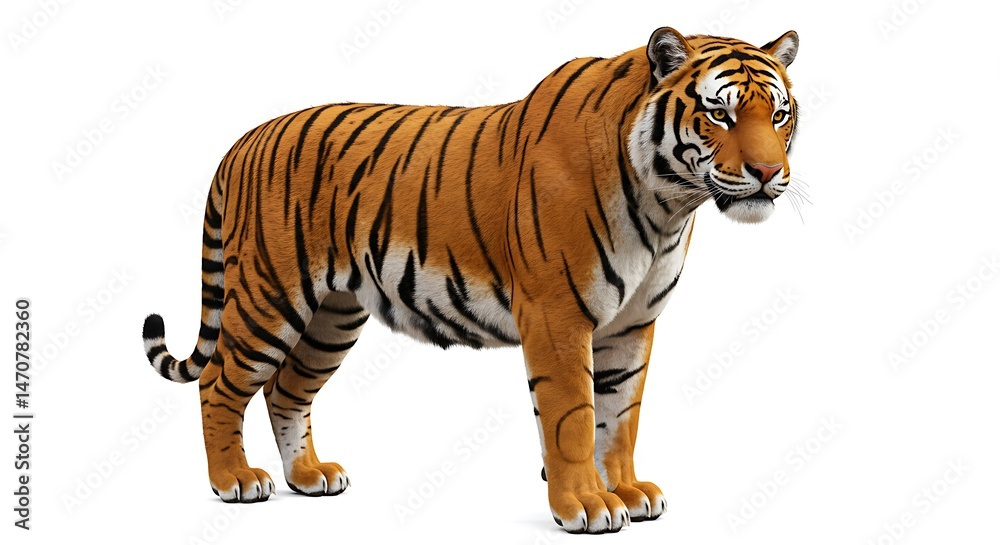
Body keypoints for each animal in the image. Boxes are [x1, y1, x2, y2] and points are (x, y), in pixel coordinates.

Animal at [141, 27, 799, 533]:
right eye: (720, 113)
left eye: (779, 114)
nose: (770, 172)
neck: (667, 204)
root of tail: (243, 140)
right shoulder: (558, 315)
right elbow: (574, 416)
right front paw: (585, 505)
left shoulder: (633, 324)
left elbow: (621, 417)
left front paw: (627, 491)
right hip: (269, 297)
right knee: (220, 384)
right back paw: (233, 479)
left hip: (332, 316)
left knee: (286, 391)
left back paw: (308, 477)